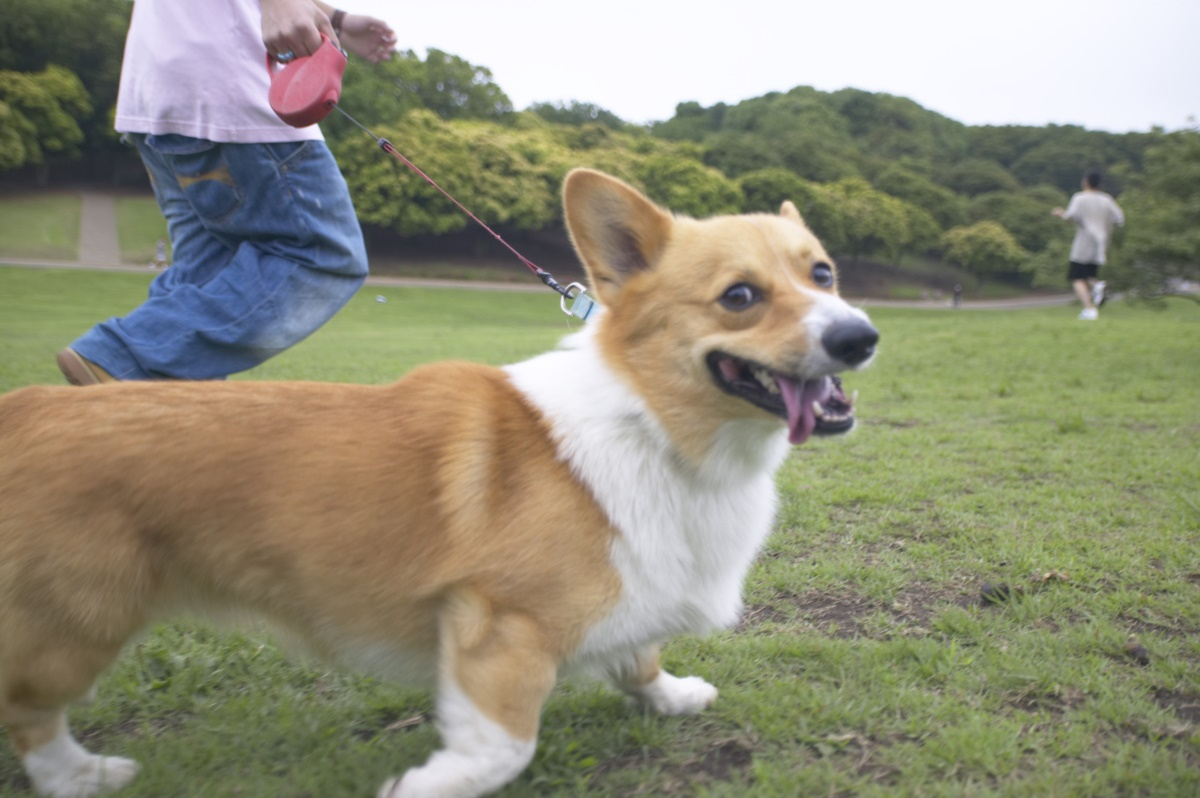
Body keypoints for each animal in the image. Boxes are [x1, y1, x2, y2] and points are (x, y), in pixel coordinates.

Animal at [0, 169, 878, 796]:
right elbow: (504, 746)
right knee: (30, 712)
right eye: (739, 297)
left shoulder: (627, 585)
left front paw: (672, 695)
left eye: (824, 274)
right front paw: (426, 784)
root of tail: (23, 409)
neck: (657, 428)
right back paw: (79, 776)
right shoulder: (500, 629)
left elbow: (638, 656)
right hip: (78, 623)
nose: (861, 337)